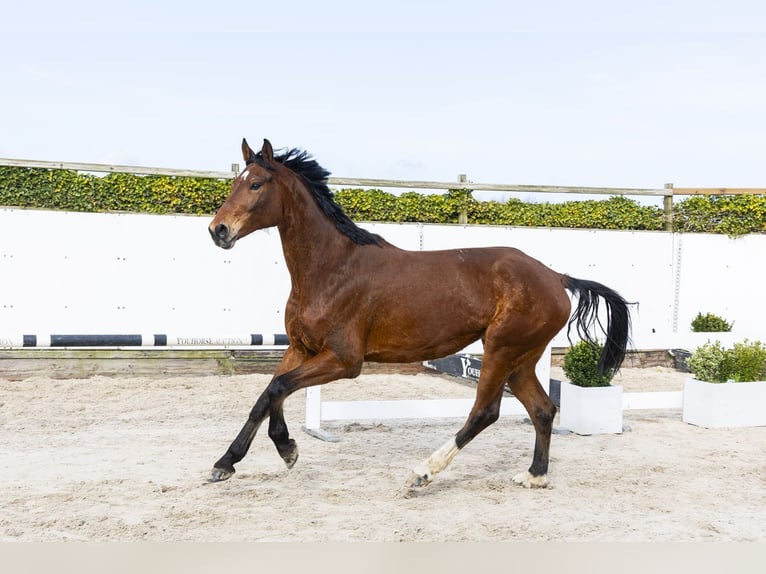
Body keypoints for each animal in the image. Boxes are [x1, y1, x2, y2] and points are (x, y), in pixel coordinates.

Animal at [207, 138, 632, 489]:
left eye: (256, 184)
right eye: (234, 183)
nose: (218, 230)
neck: (331, 268)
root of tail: (556, 277)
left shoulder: (344, 360)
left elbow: (278, 388)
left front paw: (283, 449)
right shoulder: (301, 348)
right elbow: (266, 395)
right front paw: (232, 461)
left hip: (502, 349)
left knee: (485, 411)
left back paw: (423, 472)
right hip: (522, 358)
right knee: (543, 409)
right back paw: (534, 476)